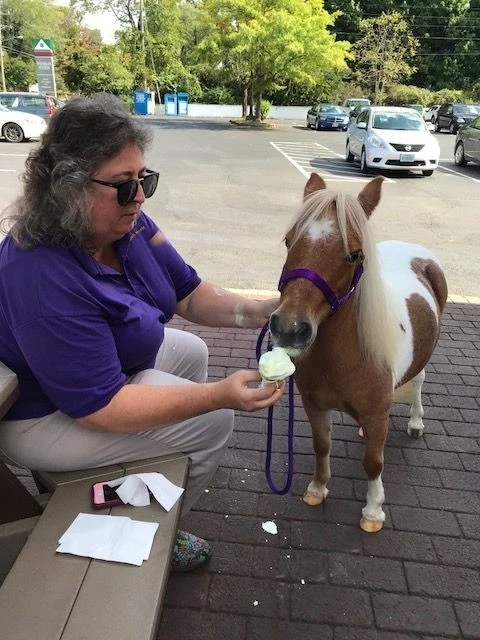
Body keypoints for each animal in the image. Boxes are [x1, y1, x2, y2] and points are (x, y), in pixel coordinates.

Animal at [269, 173, 448, 533]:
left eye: (354, 254)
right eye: (289, 241)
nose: (289, 328)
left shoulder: (376, 415)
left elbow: (373, 462)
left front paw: (373, 511)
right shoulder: (315, 405)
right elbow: (322, 445)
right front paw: (317, 489)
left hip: (423, 361)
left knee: (418, 383)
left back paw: (416, 421)